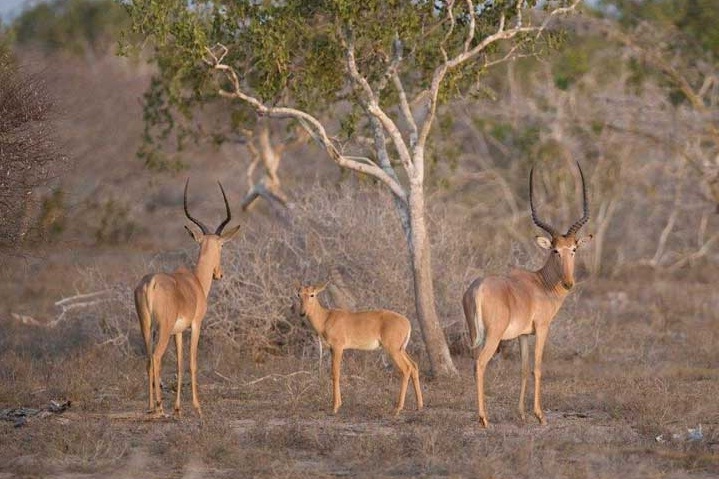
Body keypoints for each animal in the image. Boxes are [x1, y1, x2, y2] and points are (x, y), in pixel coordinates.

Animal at [134, 179, 241, 418]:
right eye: (222, 245)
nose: (219, 274)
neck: (195, 281)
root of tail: (151, 283)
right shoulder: (195, 325)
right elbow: (192, 362)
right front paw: (197, 406)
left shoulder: (179, 332)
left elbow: (179, 364)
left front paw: (178, 408)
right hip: (162, 329)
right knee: (156, 358)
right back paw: (159, 407)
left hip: (146, 327)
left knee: (148, 359)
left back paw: (150, 406)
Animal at [296, 281, 424, 415]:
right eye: (298, 294)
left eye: (312, 294)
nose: (302, 313)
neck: (326, 318)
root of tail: (407, 323)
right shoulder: (332, 349)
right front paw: (338, 404)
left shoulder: (338, 348)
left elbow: (335, 373)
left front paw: (335, 407)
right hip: (401, 349)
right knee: (414, 366)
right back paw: (419, 405)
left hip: (393, 350)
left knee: (406, 369)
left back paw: (398, 408)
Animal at [463, 162, 592, 427]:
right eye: (555, 250)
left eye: (573, 249)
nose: (568, 283)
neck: (540, 284)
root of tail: (478, 288)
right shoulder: (542, 329)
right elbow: (537, 367)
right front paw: (540, 415)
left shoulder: (522, 335)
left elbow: (522, 369)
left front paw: (521, 414)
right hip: (493, 337)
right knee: (480, 364)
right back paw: (483, 419)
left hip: (474, 334)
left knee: (473, 363)